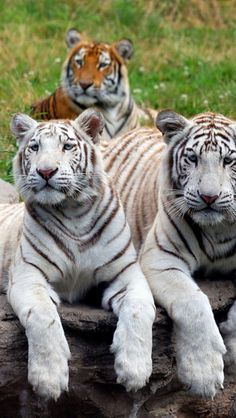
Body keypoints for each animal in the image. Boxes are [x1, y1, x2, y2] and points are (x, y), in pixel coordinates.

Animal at [0, 109, 155, 400]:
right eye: (35, 147)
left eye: (67, 146)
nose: (45, 171)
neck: (73, 212)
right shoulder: (28, 275)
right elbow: (43, 316)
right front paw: (49, 379)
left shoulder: (127, 274)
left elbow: (138, 310)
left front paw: (135, 370)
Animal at [102, 110, 236, 398]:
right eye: (193, 158)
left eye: (229, 161)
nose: (209, 197)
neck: (220, 228)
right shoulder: (161, 259)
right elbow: (193, 303)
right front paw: (204, 373)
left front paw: (231, 342)